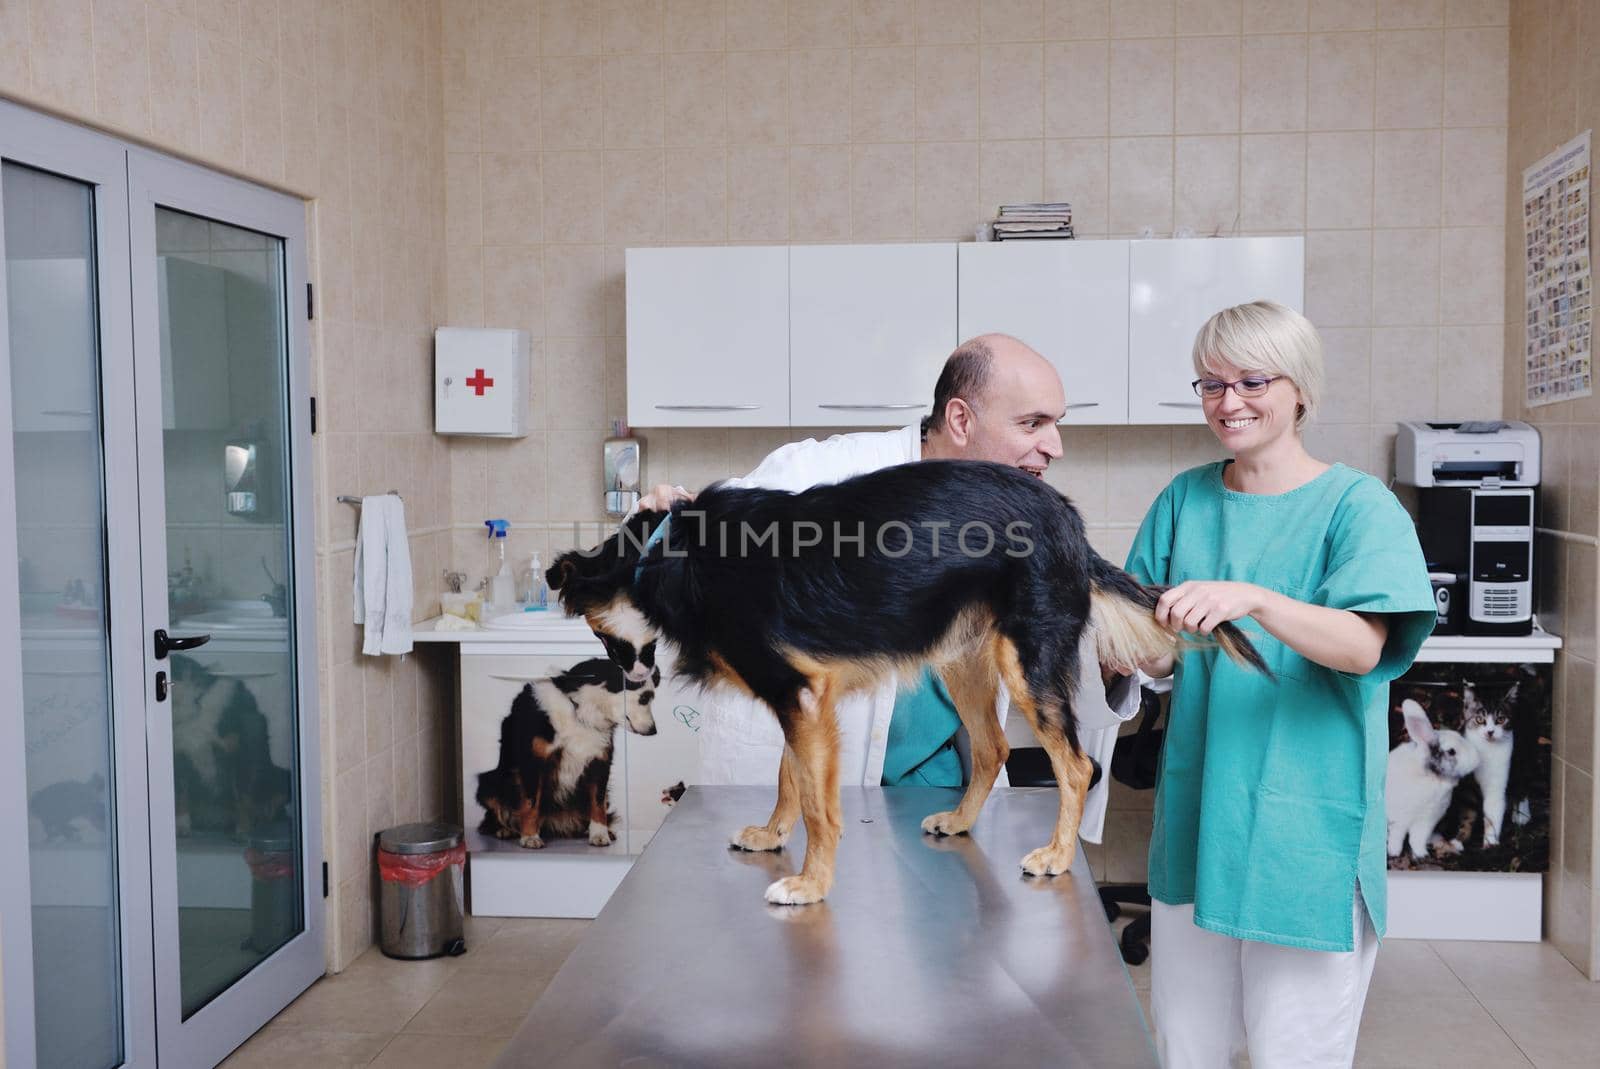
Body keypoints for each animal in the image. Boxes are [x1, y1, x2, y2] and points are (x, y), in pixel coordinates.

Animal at [470, 656, 659, 844]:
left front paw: (599, 834)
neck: (581, 710)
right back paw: (505, 830)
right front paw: (530, 837)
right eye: (644, 698)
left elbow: (598, 802)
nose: (653, 731)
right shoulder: (533, 761)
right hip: (488, 783)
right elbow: (531, 802)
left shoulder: (600, 761)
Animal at [550, 460, 1260, 902]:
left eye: (599, 637)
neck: (664, 555)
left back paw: (1057, 854)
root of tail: (1070, 524)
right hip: (962, 658)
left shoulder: (796, 694)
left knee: (1077, 765)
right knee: (993, 748)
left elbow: (819, 804)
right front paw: (773, 836)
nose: (630, 680)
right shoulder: (804, 697)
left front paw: (811, 885)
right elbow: (789, 777)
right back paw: (963, 820)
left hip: (1026, 663)